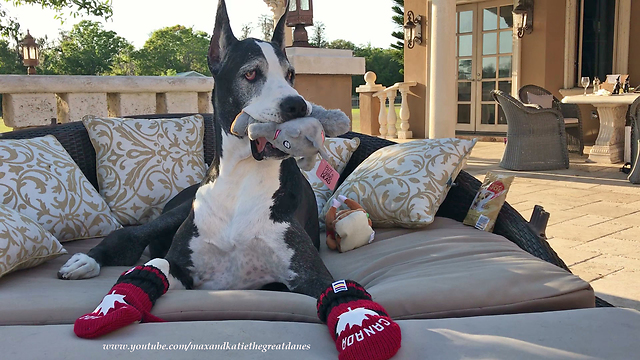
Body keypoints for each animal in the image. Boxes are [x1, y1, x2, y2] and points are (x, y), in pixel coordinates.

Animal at [62, 1, 400, 358]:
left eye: (290, 75)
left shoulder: (307, 276)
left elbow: (336, 292)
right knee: (130, 237)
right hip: (177, 212)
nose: (297, 105)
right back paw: (85, 261)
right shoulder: (183, 267)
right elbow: (154, 267)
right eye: (251, 73)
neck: (242, 176)